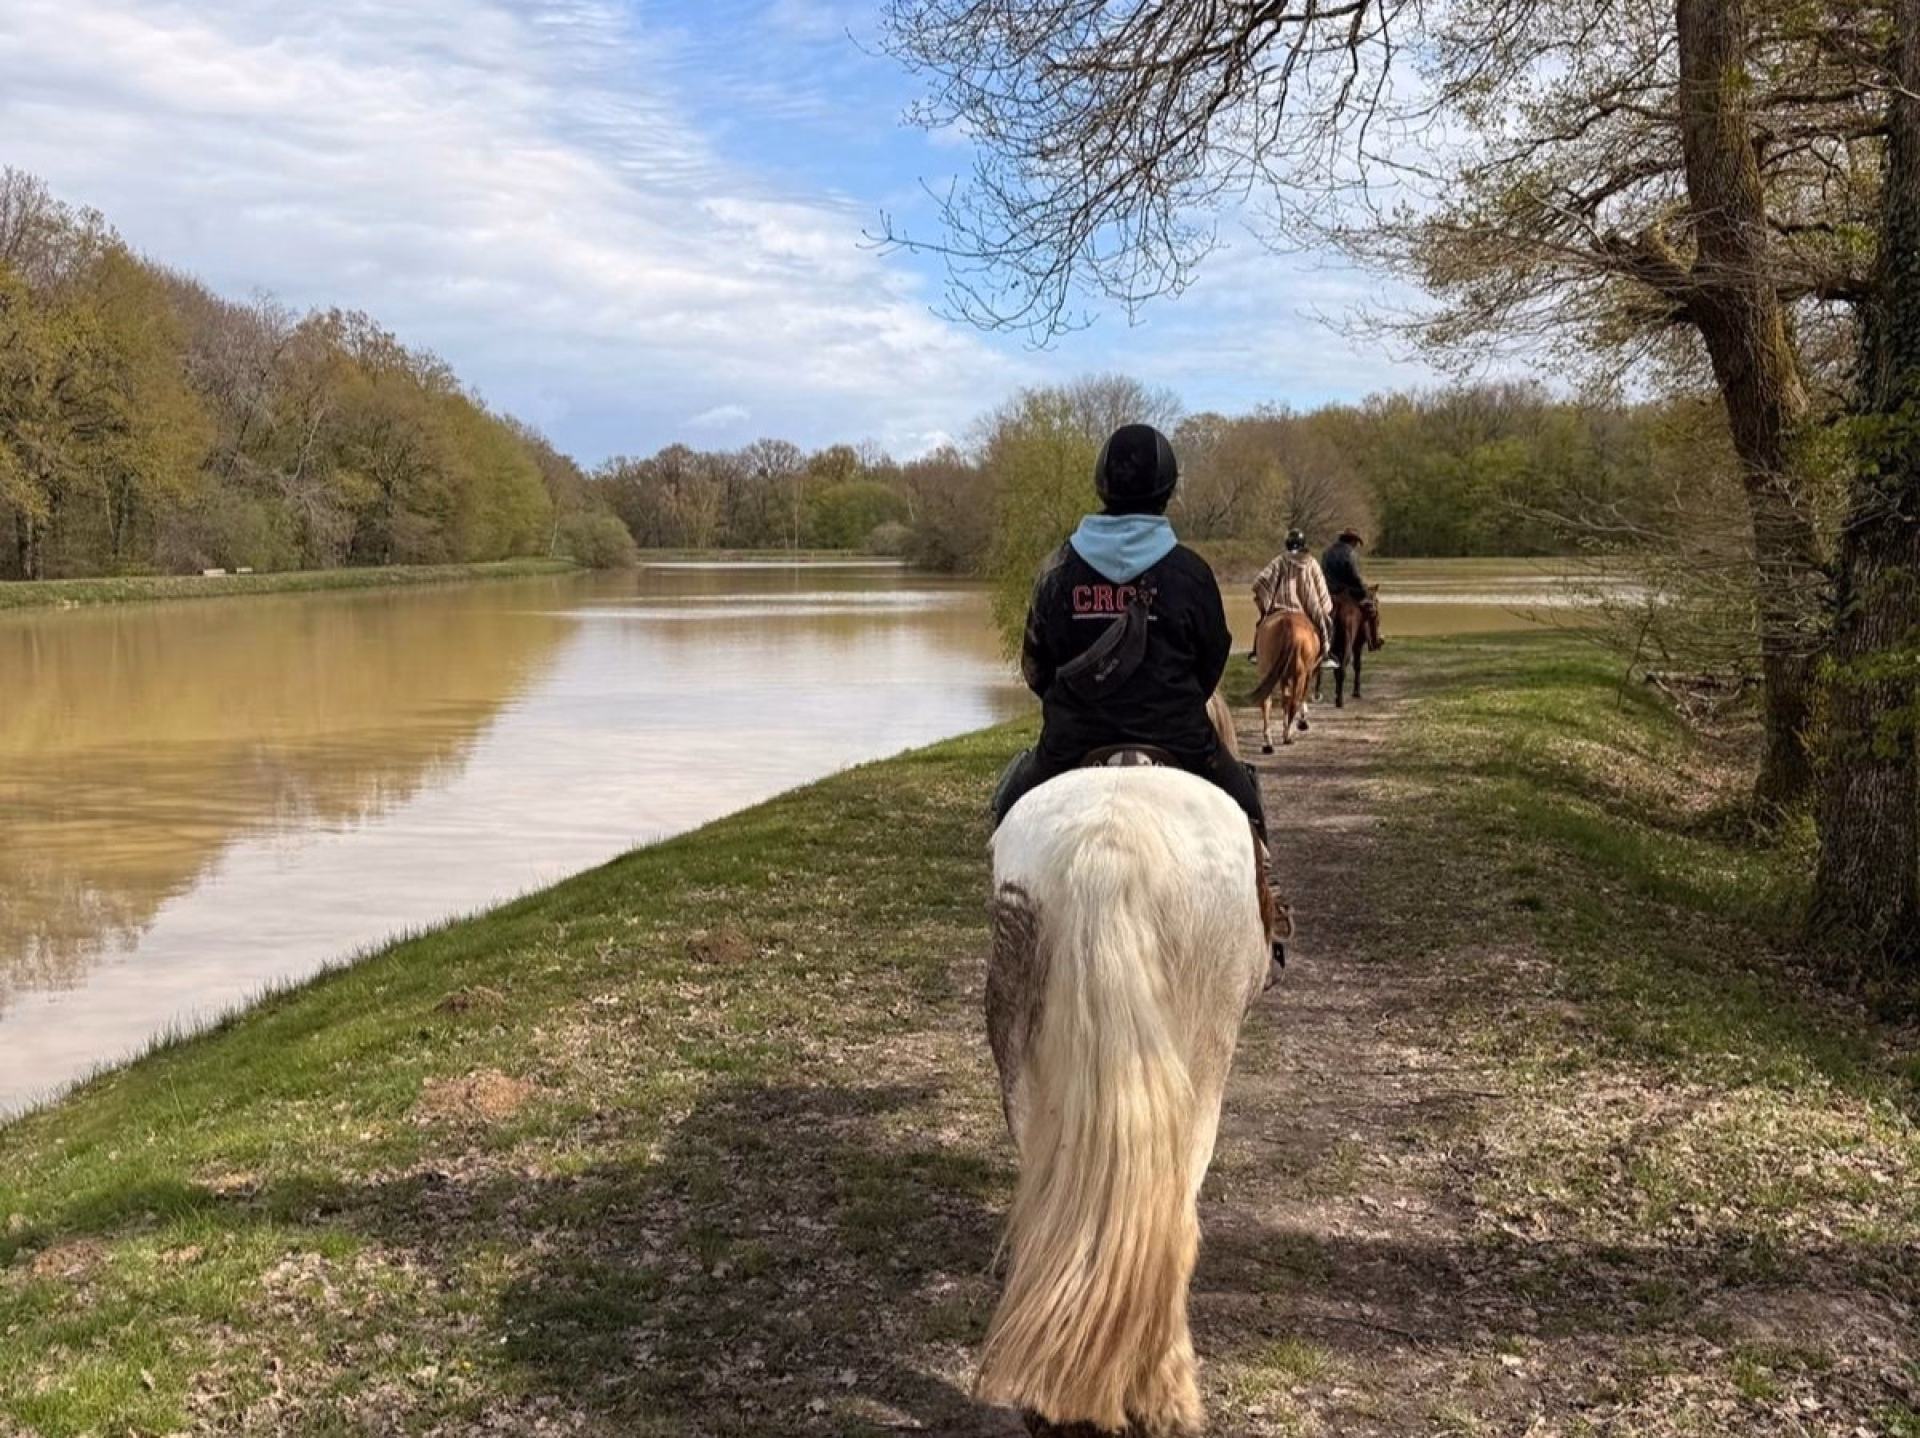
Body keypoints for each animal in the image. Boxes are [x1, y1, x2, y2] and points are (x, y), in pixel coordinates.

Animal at [1250, 609, 1321, 752]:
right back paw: (1288, 737)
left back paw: (1268, 742)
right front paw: (1302, 722)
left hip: (1266, 670)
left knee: (1266, 702)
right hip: (1300, 674)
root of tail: (1288, 623)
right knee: (1294, 702)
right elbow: (1300, 697)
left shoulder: (1284, 677)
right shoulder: (1308, 673)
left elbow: (1285, 700)